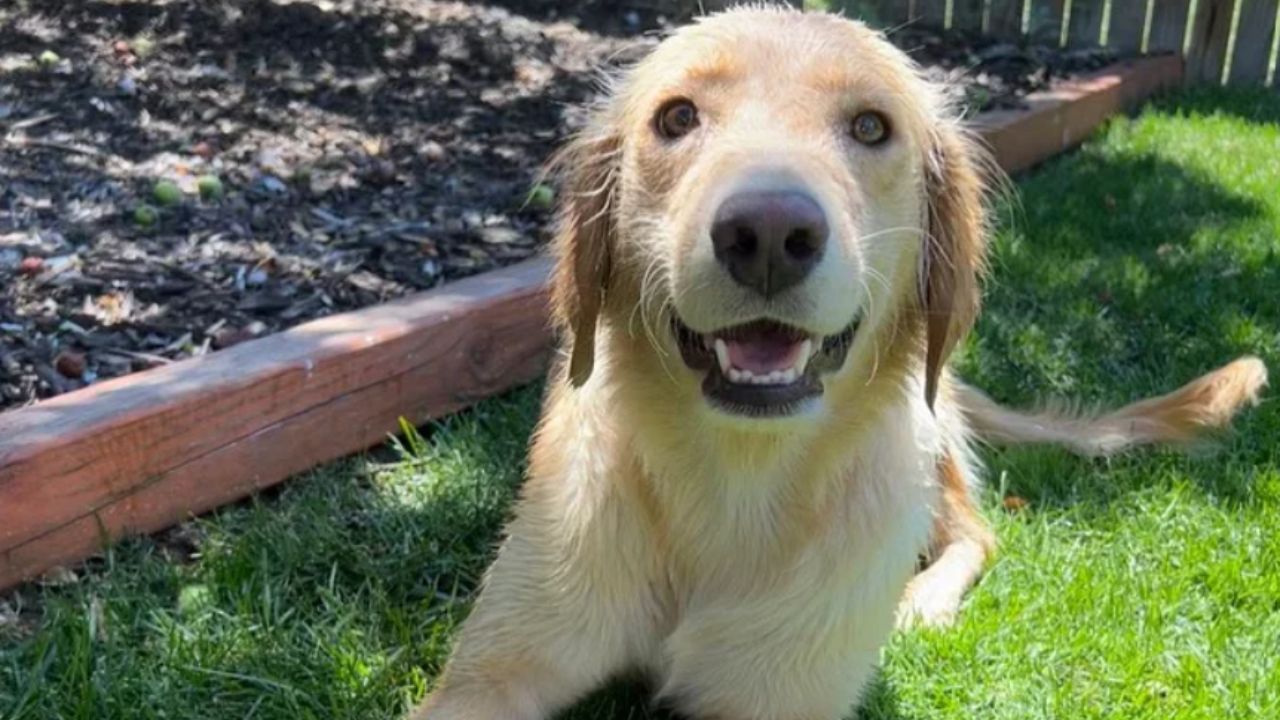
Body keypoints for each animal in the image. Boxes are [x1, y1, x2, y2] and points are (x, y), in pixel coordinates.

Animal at [412, 7, 1269, 717]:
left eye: (869, 126)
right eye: (677, 117)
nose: (766, 234)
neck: (733, 486)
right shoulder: (488, 676)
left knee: (979, 531)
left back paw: (922, 600)